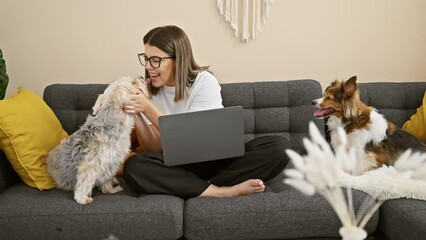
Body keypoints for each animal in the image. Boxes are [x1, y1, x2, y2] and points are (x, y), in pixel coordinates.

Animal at [46, 76, 150, 204]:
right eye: (133, 82)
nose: (141, 77)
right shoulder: (91, 165)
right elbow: (84, 181)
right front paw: (82, 198)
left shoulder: (110, 162)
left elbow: (106, 179)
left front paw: (110, 190)